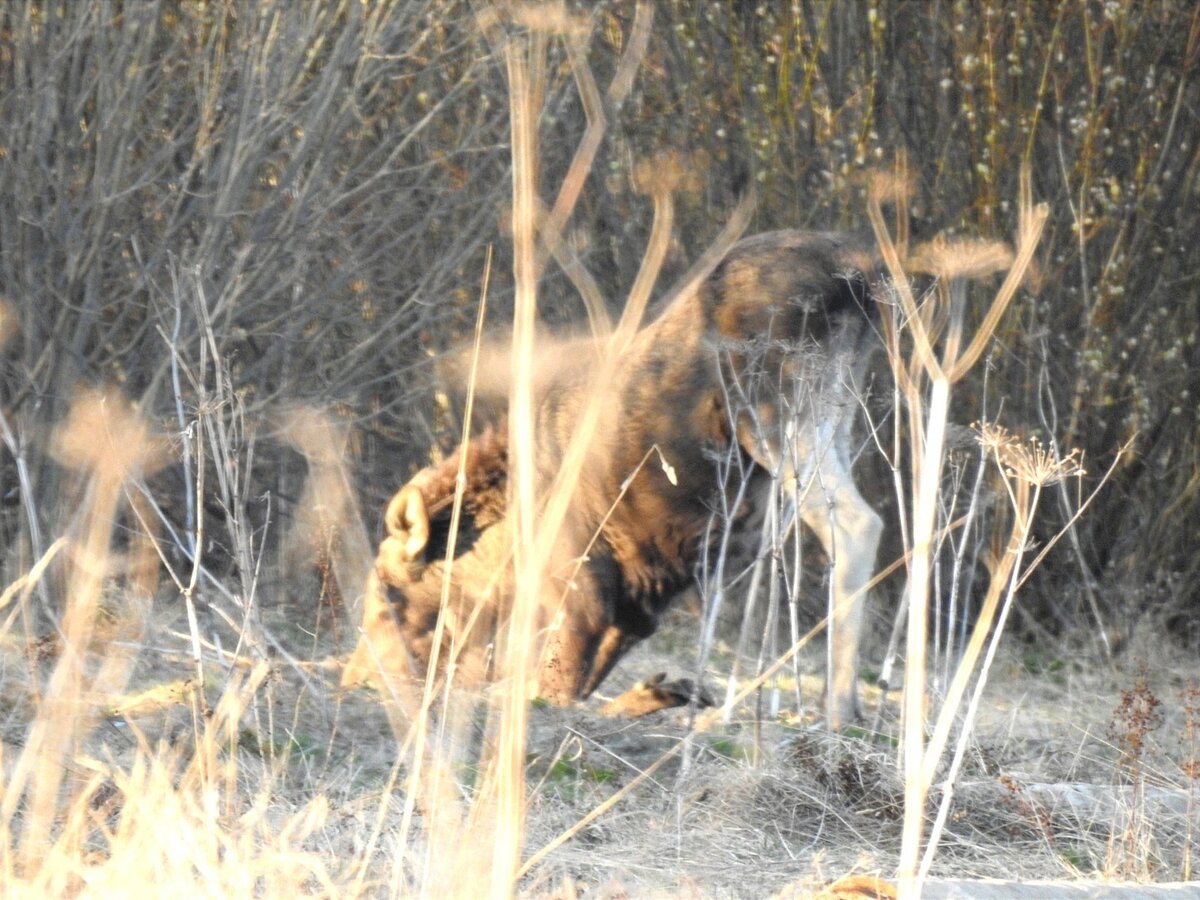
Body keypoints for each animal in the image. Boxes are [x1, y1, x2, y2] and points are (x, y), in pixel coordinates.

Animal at [343, 229, 888, 729]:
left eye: (387, 594)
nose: (356, 678)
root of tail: (862, 271)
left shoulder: (578, 583)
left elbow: (552, 691)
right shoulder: (639, 603)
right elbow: (579, 687)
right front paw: (665, 692)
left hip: (773, 409)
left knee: (857, 523)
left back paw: (834, 709)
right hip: (837, 409)